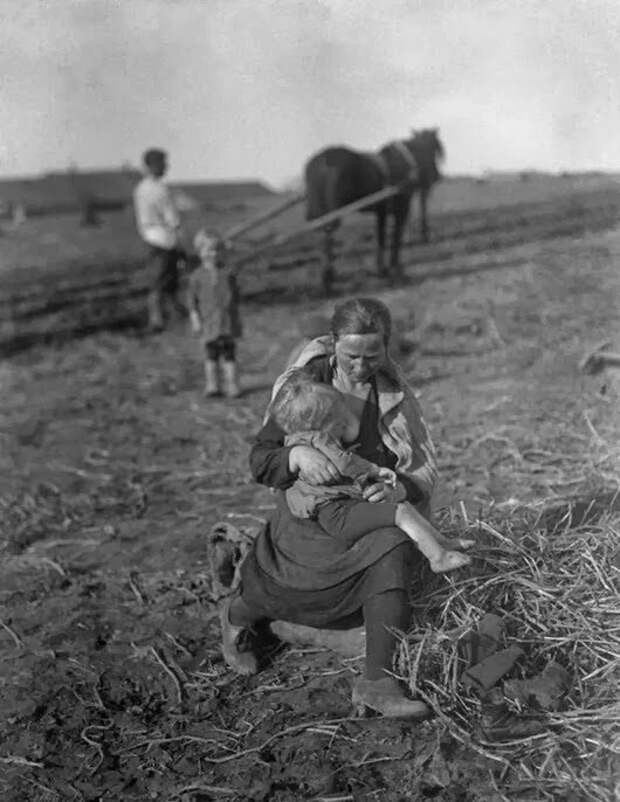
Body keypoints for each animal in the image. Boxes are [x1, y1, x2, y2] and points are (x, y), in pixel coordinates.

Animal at [302, 130, 444, 292]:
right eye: (436, 147)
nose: (436, 175)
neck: (405, 162)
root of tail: (322, 161)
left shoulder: (381, 210)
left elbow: (380, 237)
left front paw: (381, 269)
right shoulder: (401, 209)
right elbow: (396, 236)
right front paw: (394, 266)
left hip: (322, 212)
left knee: (324, 235)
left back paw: (328, 277)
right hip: (332, 212)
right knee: (329, 234)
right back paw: (328, 278)